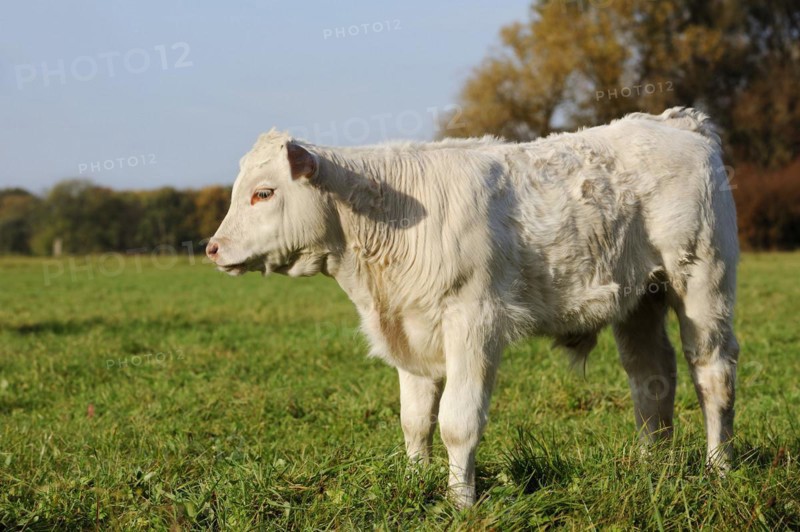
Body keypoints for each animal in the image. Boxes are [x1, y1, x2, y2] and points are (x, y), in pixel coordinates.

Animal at [206, 107, 740, 507]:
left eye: (263, 193)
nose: (212, 248)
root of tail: (675, 121)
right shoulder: (410, 330)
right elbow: (415, 419)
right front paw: (415, 482)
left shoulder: (473, 322)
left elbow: (457, 422)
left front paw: (460, 502)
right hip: (640, 298)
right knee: (651, 376)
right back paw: (653, 467)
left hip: (702, 281)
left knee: (712, 374)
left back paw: (719, 469)